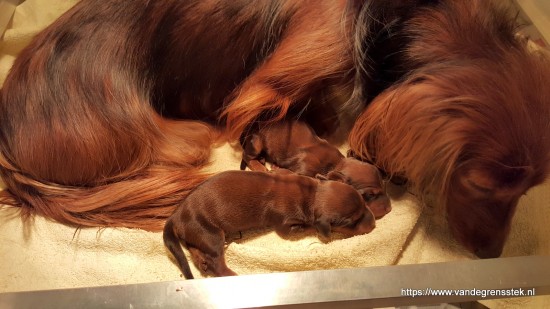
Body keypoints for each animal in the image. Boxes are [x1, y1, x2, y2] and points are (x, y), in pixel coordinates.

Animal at [164, 170, 378, 278]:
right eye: (352, 222)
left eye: (363, 202)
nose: (374, 224)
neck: (311, 194)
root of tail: (176, 216)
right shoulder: (285, 225)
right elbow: (305, 226)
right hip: (211, 235)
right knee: (217, 265)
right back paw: (232, 274)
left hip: (200, 235)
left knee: (193, 248)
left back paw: (202, 262)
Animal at [242, 119, 392, 218]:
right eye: (370, 195)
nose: (390, 209)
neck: (335, 164)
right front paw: (277, 170)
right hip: (257, 143)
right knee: (247, 156)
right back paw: (260, 167)